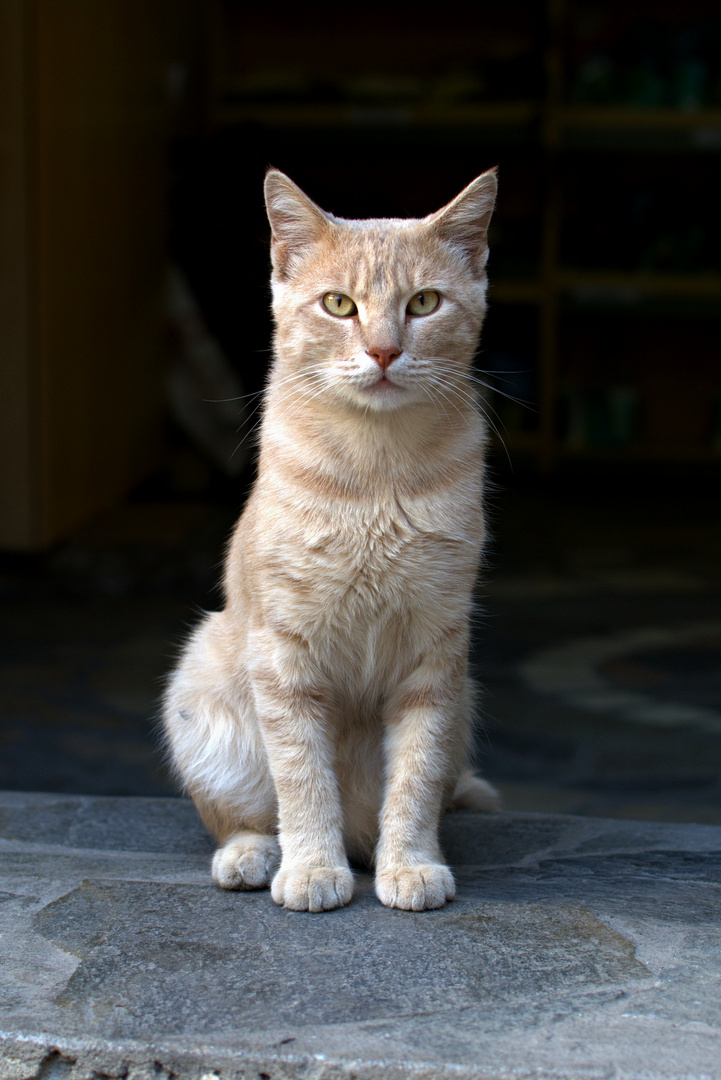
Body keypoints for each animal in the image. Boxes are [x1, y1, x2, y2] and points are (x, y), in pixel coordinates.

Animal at [162, 168, 500, 911]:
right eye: (339, 305)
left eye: (424, 303)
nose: (383, 351)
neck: (376, 474)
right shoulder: (285, 657)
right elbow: (302, 779)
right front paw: (313, 867)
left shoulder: (436, 655)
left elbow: (416, 778)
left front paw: (410, 865)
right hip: (201, 689)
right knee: (245, 818)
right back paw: (255, 856)